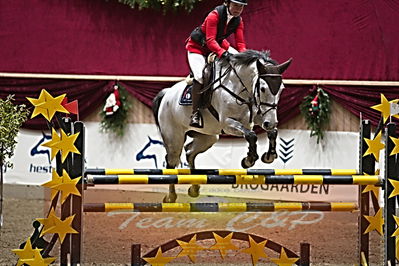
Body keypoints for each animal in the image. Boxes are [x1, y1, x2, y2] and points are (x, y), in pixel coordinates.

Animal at [152, 49, 290, 202]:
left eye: (281, 89)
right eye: (263, 89)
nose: (271, 122)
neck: (240, 88)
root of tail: (166, 94)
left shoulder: (259, 116)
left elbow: (272, 132)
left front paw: (269, 156)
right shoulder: (228, 123)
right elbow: (251, 135)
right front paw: (248, 160)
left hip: (208, 137)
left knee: (190, 152)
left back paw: (194, 189)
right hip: (174, 138)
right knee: (172, 161)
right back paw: (171, 197)